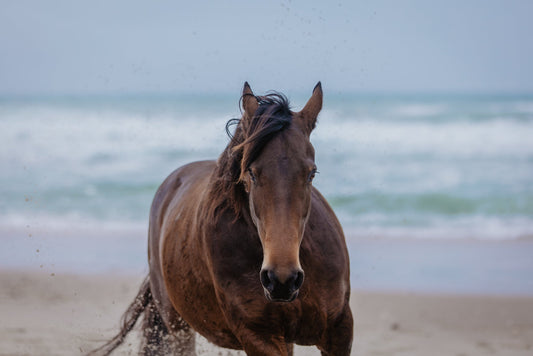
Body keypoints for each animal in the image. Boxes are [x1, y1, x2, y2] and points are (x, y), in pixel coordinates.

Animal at [89, 82, 352, 354]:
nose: (282, 280)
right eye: (251, 173)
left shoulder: (339, 329)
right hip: (178, 326)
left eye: (311, 173)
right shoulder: (258, 337)